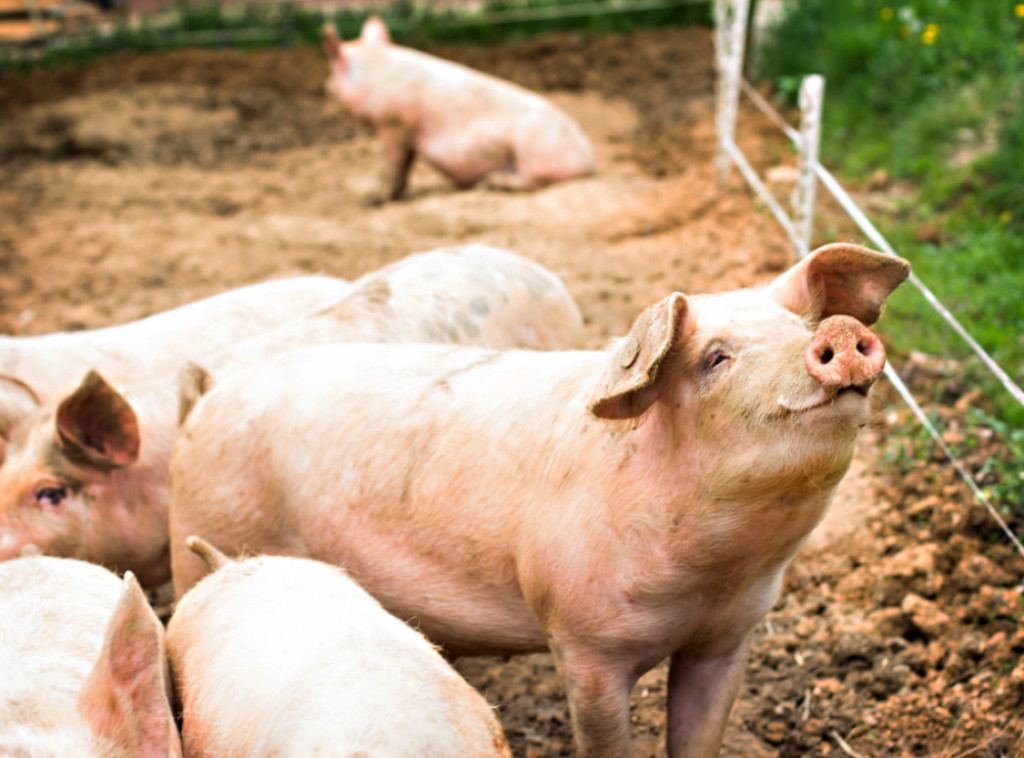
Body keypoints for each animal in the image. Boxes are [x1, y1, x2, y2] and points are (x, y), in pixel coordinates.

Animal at [323, 16, 598, 202]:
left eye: (331, 73)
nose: (325, 87)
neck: (373, 75)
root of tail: (589, 162)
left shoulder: (394, 124)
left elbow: (388, 165)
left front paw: (371, 199)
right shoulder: (408, 133)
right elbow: (403, 167)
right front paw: (397, 194)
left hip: (532, 148)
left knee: (534, 182)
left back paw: (489, 184)